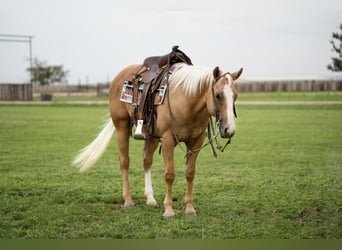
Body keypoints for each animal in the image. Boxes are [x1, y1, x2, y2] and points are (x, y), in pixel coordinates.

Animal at [73, 62, 242, 219]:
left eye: (235, 95)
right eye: (218, 95)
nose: (230, 130)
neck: (186, 100)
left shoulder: (196, 141)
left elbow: (190, 173)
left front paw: (189, 209)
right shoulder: (168, 139)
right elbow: (169, 174)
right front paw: (168, 210)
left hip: (151, 136)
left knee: (146, 160)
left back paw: (150, 199)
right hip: (122, 126)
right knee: (124, 161)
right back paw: (128, 201)